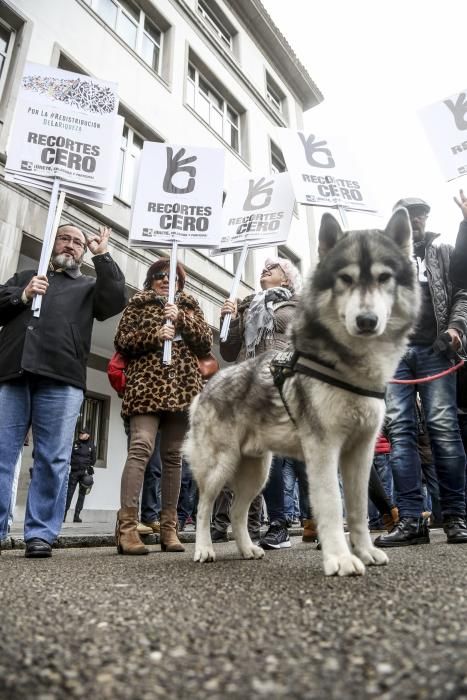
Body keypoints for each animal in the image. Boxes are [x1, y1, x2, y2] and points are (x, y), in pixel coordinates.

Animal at [186, 211, 420, 576]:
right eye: (345, 279)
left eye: (384, 278)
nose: (366, 320)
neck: (349, 366)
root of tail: (207, 386)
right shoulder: (323, 450)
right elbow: (332, 505)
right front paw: (340, 558)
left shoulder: (361, 454)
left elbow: (357, 510)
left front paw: (365, 552)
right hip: (221, 466)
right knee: (204, 507)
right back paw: (203, 549)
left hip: (258, 472)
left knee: (238, 512)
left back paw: (247, 548)